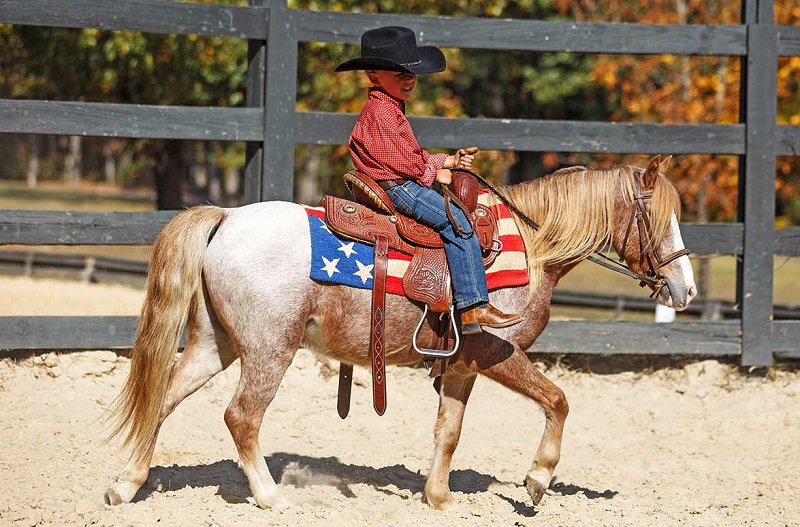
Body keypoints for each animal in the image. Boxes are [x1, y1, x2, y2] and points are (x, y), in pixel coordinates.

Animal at [104, 154, 696, 511]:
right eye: (660, 218)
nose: (686, 289)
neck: (530, 248)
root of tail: (226, 217)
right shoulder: (497, 351)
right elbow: (558, 400)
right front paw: (537, 479)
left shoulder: (461, 366)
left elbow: (449, 431)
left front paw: (439, 497)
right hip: (269, 349)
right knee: (242, 416)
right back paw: (271, 496)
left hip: (214, 343)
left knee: (162, 399)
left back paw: (126, 485)